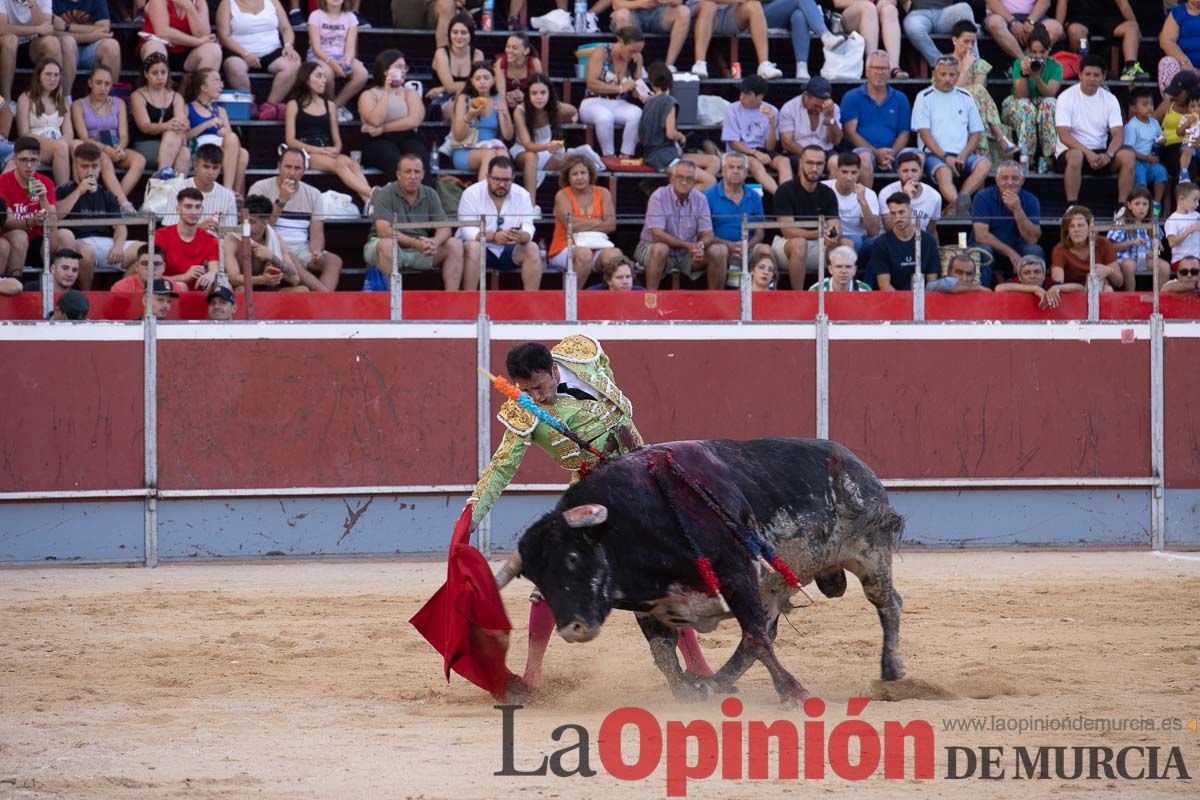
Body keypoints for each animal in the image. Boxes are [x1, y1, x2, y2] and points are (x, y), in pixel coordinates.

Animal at [494, 438, 902, 705]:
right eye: (536, 578)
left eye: (573, 558)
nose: (572, 629)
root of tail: (855, 464)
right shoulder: (653, 604)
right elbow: (664, 655)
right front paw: (688, 693)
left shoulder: (737, 574)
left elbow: (755, 638)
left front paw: (796, 693)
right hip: (772, 587)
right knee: (757, 636)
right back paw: (716, 682)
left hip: (870, 553)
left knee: (887, 603)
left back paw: (892, 674)